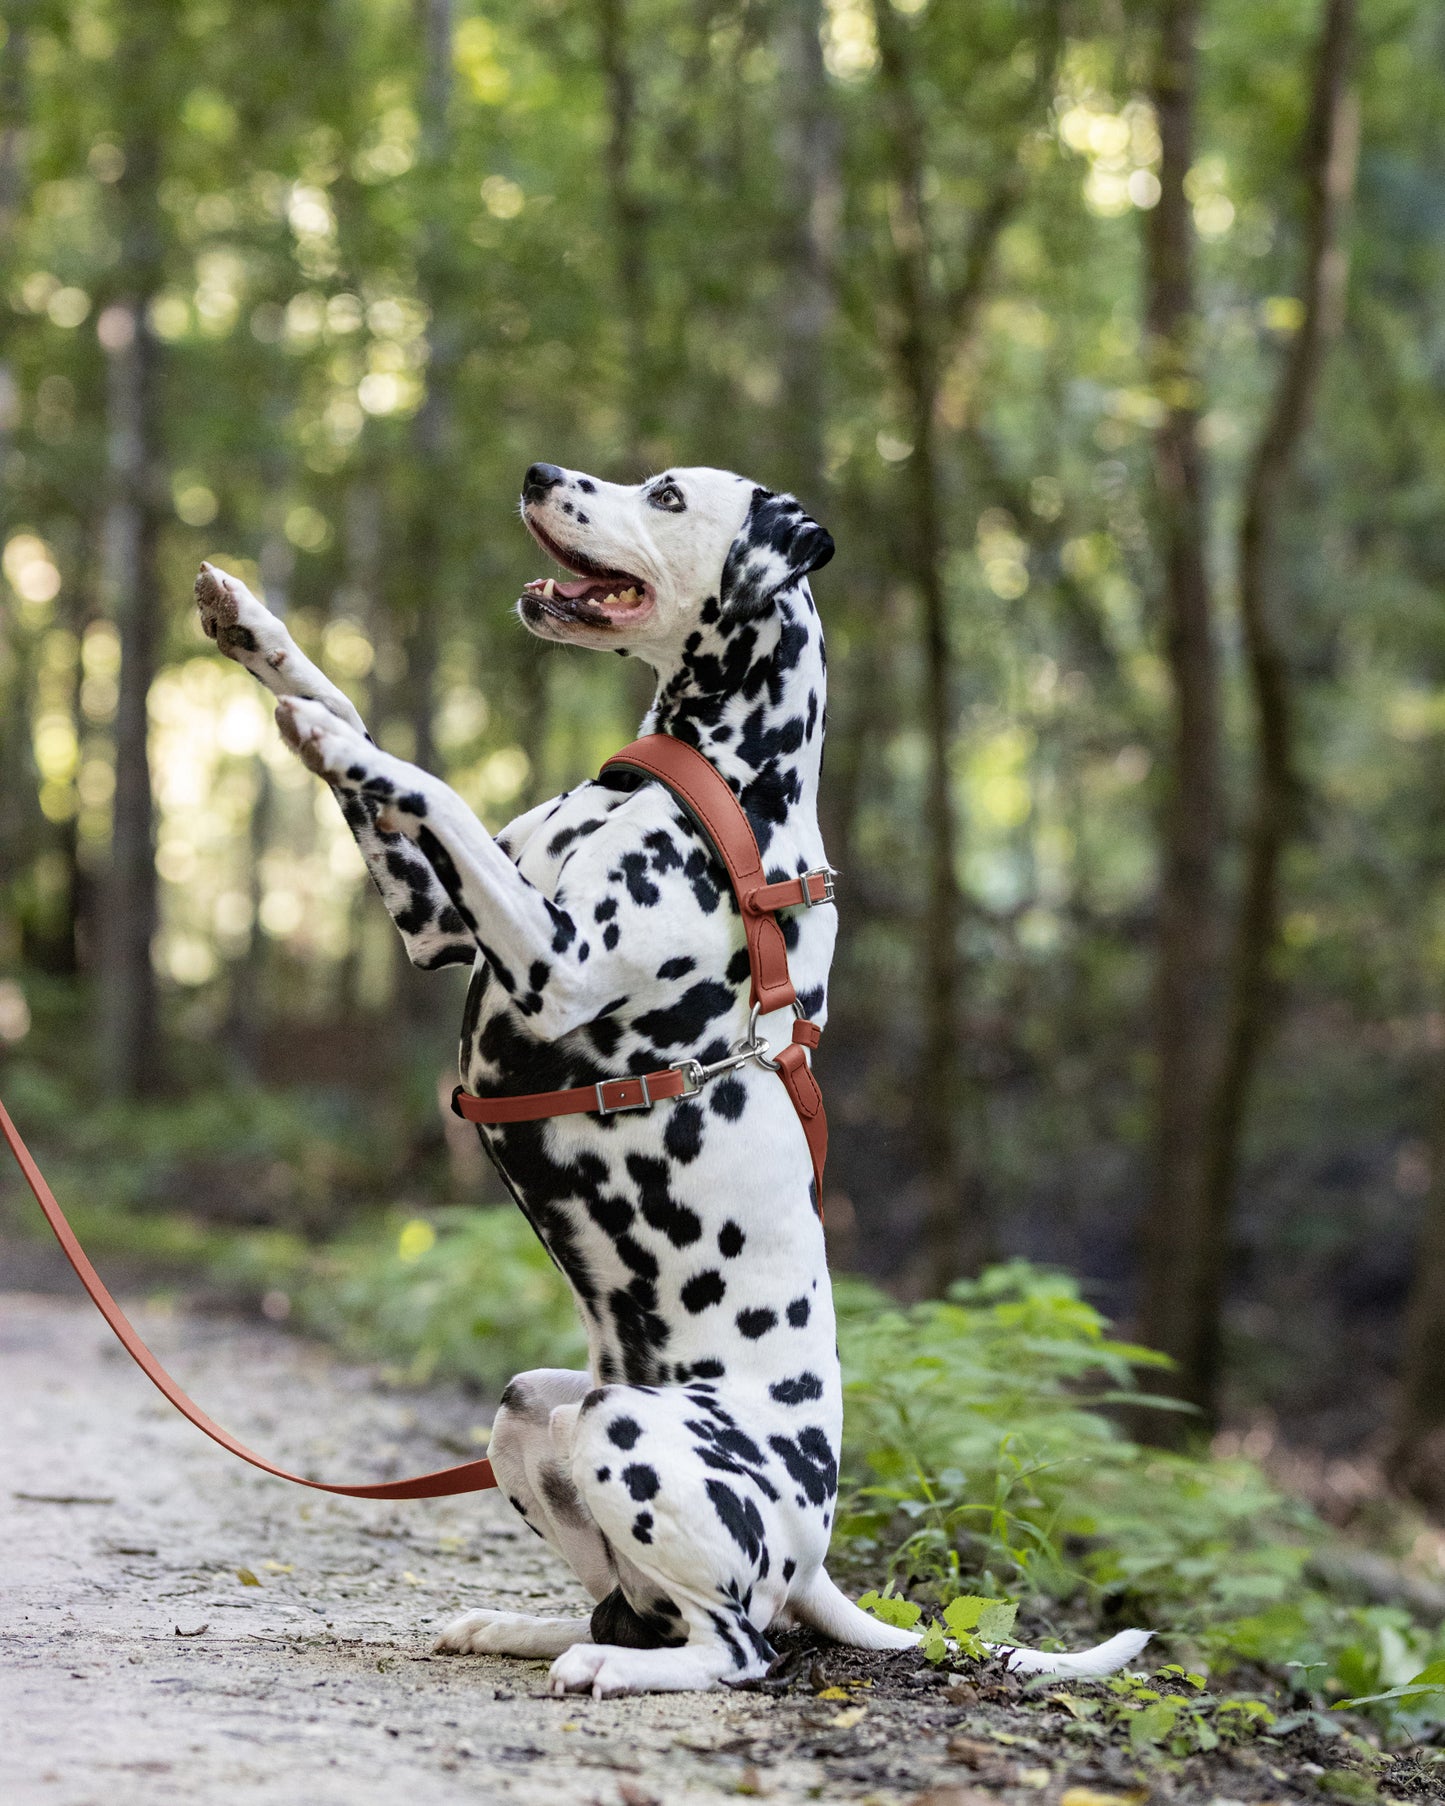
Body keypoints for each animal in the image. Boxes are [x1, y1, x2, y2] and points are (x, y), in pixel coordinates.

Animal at [197, 462, 1148, 1690]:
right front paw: (257, 637)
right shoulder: (438, 924)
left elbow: (424, 777)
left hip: (631, 1439)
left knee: (736, 1650)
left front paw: (320, 728)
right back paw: (526, 1631)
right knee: (624, 1605)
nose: (538, 473)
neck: (714, 784)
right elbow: (369, 725)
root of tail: (812, 1554)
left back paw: (619, 1670)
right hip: (533, 1412)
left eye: (664, 493)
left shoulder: (551, 961)